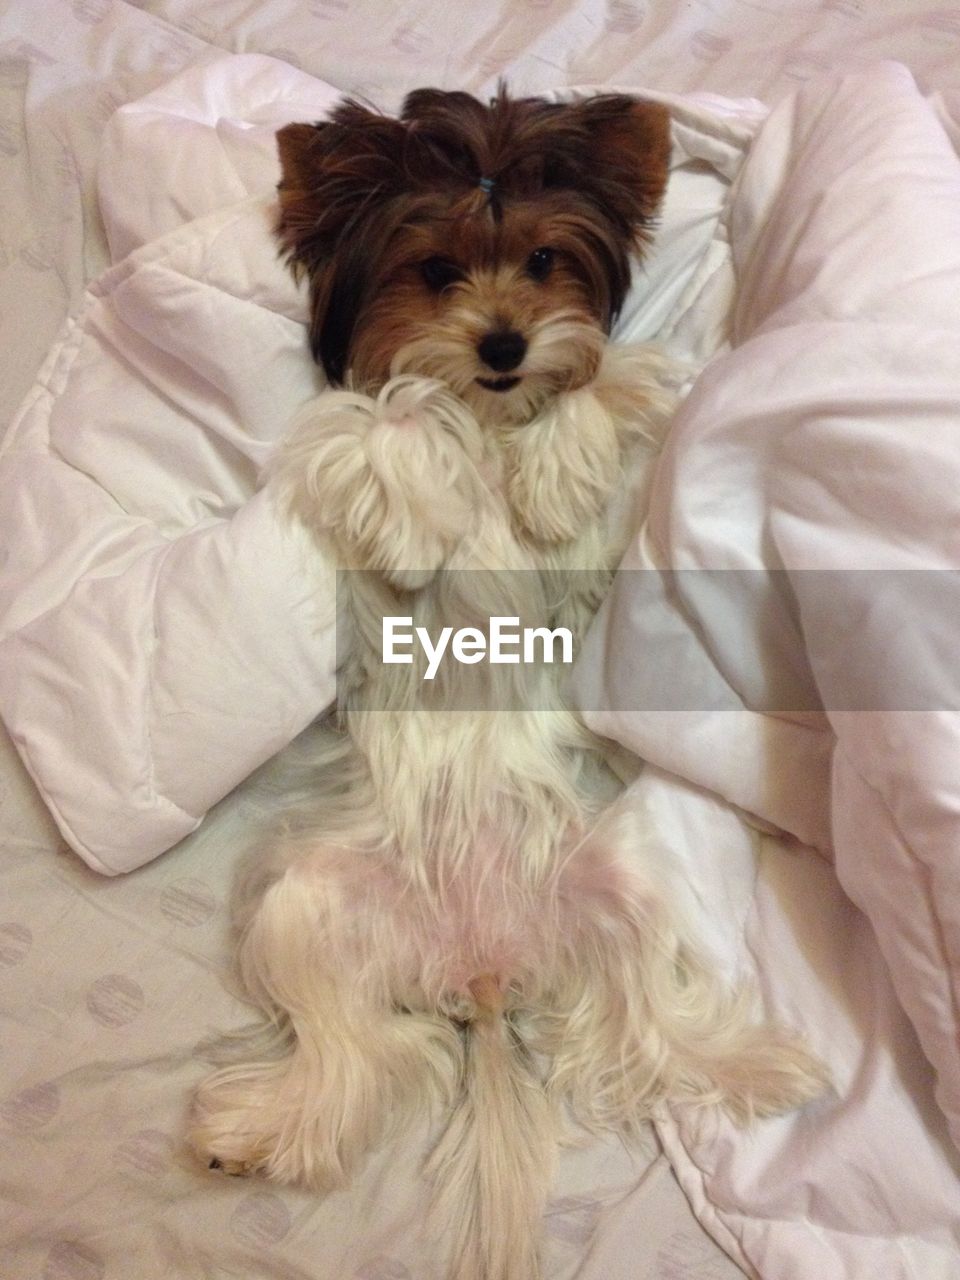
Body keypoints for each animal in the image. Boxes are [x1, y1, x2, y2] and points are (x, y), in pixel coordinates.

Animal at [189, 90, 829, 1280]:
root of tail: (479, 965)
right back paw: (264, 1129)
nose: (502, 342)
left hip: (624, 894)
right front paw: (420, 510)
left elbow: (605, 391)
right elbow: (385, 418)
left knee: (639, 1029)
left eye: (543, 260)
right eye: (436, 269)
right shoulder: (353, 449)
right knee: (357, 1050)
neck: (484, 421)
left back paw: (753, 1067)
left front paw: (558, 460)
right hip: (305, 907)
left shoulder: (583, 566)